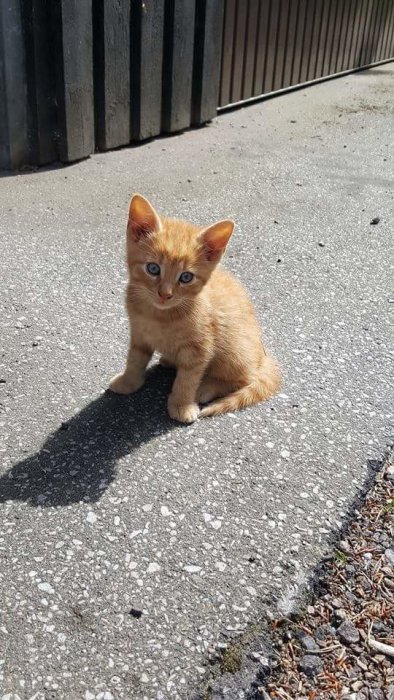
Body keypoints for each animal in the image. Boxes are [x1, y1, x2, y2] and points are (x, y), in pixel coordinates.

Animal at [109, 193, 282, 422]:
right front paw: (128, 382)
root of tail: (263, 358)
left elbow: (187, 379)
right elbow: (135, 359)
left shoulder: (199, 348)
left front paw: (182, 405)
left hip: (235, 348)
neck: (159, 316)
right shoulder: (139, 334)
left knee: (243, 379)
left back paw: (205, 388)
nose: (165, 294)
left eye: (186, 277)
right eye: (153, 268)